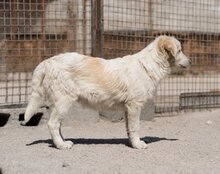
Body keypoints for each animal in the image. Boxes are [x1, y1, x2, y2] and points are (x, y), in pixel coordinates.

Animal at [20, 35, 191, 150]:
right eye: (179, 50)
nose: (191, 61)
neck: (148, 65)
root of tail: (48, 62)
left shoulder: (128, 108)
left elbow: (129, 128)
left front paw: (131, 142)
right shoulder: (134, 105)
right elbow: (135, 126)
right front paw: (138, 144)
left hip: (58, 104)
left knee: (56, 124)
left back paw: (62, 141)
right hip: (64, 100)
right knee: (52, 124)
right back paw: (61, 145)